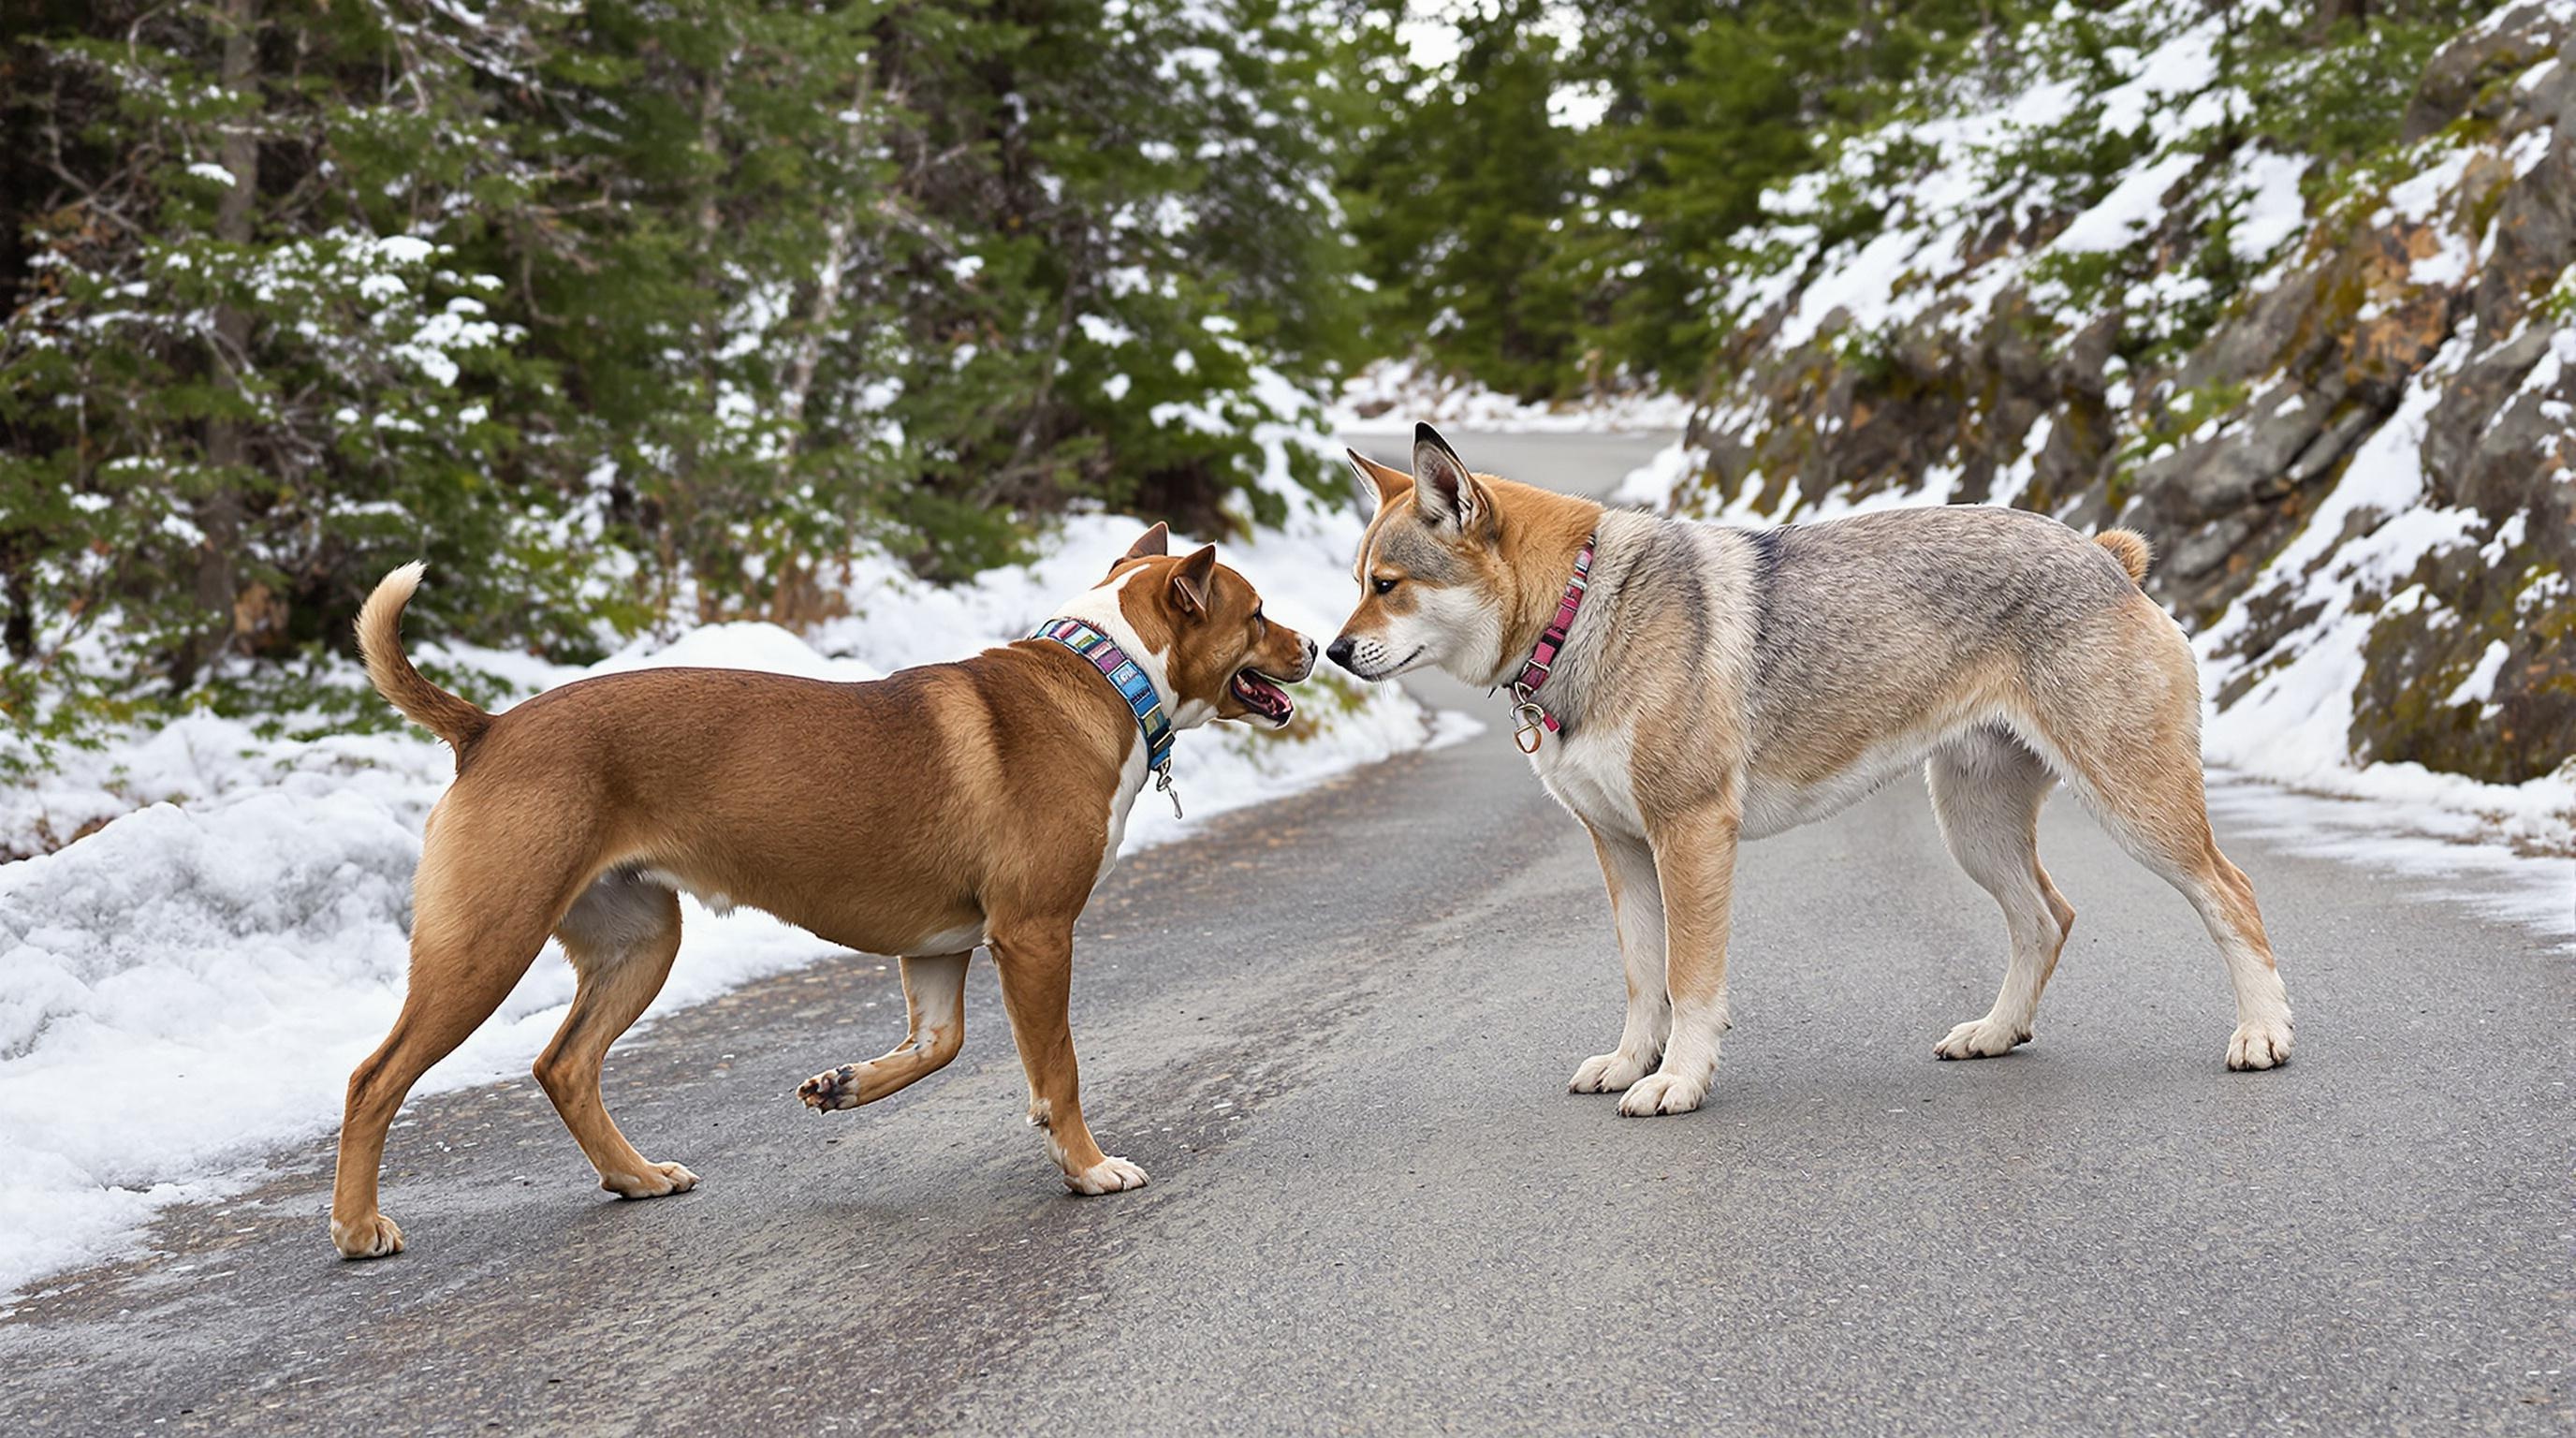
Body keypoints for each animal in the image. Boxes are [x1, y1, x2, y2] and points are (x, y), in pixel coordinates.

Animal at [329, 531, 1319, 1262]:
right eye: (1259, 614)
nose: (1316, 645)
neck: (1109, 674)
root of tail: (486, 729)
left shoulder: (940, 948)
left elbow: (937, 1047)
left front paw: (842, 1087)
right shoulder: (1035, 937)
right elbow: (1060, 1073)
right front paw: (1086, 1169)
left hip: (640, 945)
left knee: (565, 1066)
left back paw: (635, 1176)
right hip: (486, 947)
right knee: (374, 1078)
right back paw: (355, 1226)